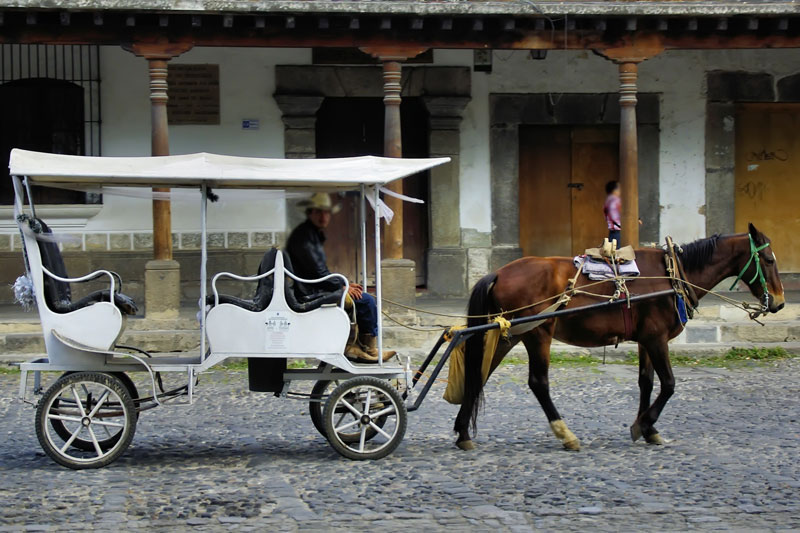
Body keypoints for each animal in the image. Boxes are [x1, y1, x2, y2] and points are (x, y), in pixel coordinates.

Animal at [454, 223, 785, 451]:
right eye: (769, 260)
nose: (780, 303)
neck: (673, 275)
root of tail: (499, 272)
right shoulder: (657, 338)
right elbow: (668, 384)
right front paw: (644, 423)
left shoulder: (646, 339)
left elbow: (646, 382)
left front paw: (649, 429)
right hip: (537, 333)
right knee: (538, 383)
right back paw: (566, 434)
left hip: (509, 334)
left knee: (479, 375)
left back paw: (463, 432)